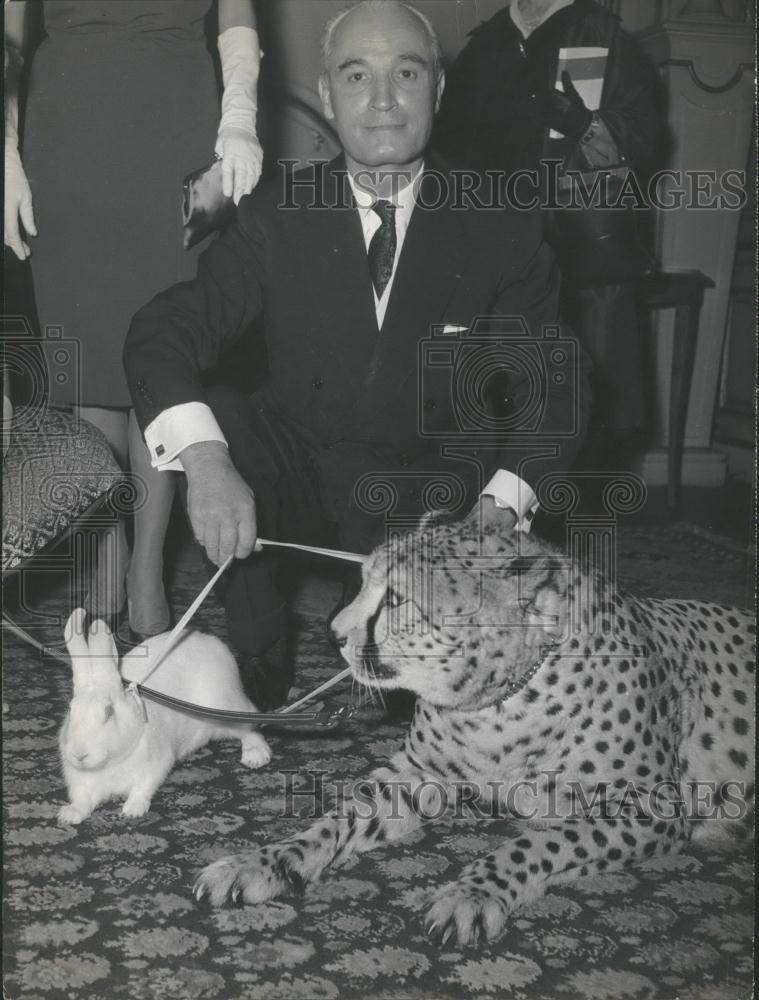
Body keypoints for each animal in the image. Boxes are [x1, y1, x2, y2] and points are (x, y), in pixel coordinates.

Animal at [59, 604, 274, 824]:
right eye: (70, 710)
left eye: (108, 712)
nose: (79, 755)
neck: (109, 763)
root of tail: (213, 643)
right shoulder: (80, 784)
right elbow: (82, 799)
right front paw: (69, 816)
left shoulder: (155, 766)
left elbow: (143, 788)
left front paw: (133, 810)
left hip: (224, 709)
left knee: (251, 724)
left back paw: (255, 755)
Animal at [196, 508, 756, 944]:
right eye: (366, 581)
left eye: (396, 599)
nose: (334, 634)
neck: (496, 704)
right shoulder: (418, 774)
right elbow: (333, 820)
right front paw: (261, 863)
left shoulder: (652, 808)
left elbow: (539, 842)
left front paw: (471, 892)